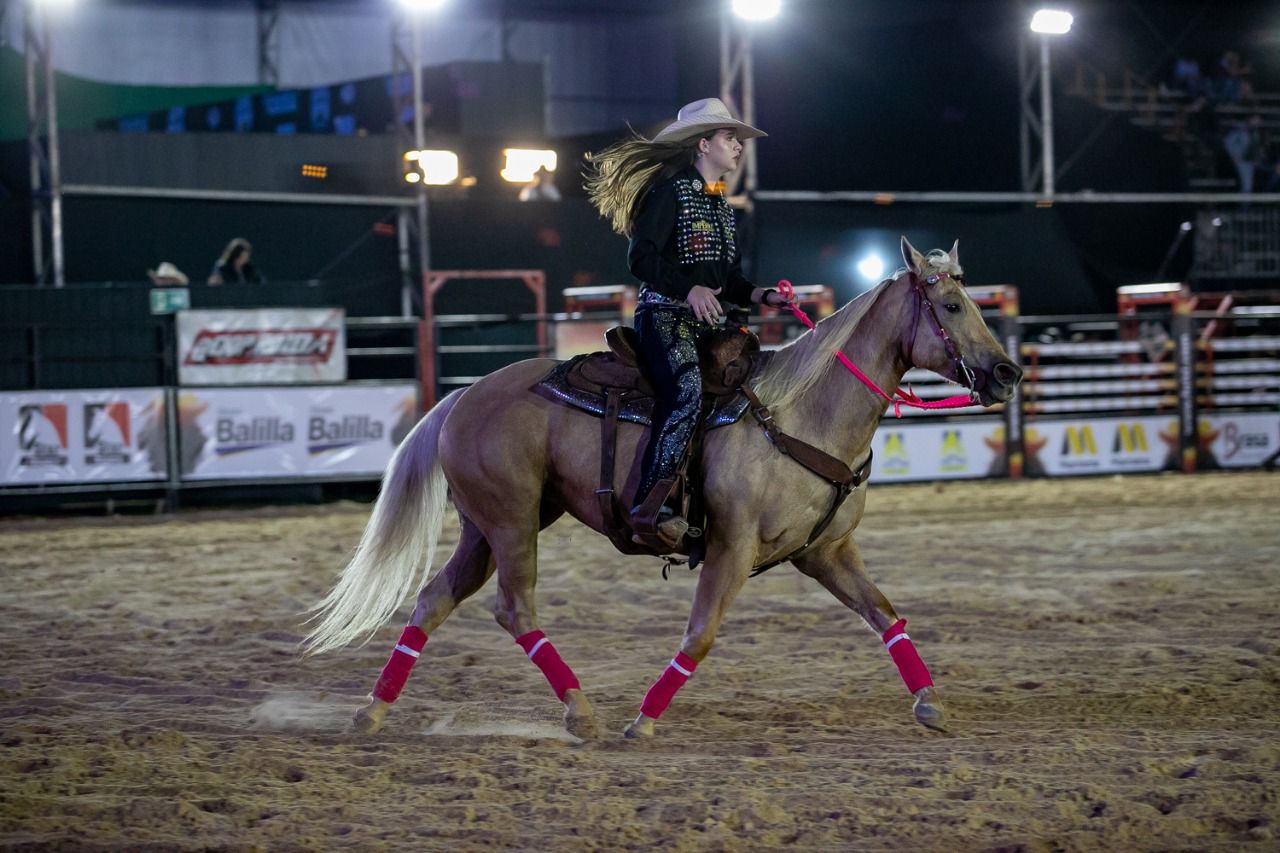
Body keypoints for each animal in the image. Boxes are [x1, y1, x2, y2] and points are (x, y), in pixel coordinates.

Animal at [299, 236, 1018, 737]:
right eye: (950, 305)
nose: (1007, 372)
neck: (798, 415)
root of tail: (461, 396)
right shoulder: (731, 548)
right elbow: (699, 635)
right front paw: (642, 720)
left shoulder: (826, 552)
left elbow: (887, 616)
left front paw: (931, 703)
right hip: (511, 522)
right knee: (514, 609)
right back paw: (581, 710)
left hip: (488, 526)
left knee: (432, 601)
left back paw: (372, 713)